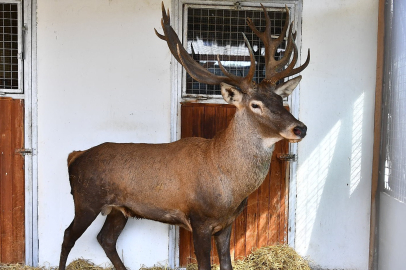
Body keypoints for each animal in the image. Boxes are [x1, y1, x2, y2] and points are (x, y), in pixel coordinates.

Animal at [57, 2, 310, 270]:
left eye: (280, 100)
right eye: (255, 105)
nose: (300, 128)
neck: (229, 187)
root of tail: (74, 156)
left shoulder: (227, 223)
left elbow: (227, 263)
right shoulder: (199, 220)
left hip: (118, 209)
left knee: (105, 238)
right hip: (86, 200)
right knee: (68, 235)